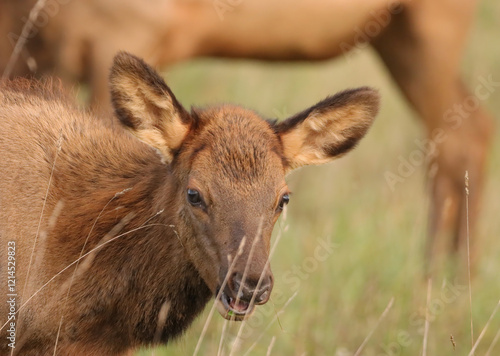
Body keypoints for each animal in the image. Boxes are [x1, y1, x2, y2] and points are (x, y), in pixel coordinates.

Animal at [0, 0, 492, 272]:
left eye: (284, 198)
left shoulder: (123, 33)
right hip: (396, 36)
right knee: (470, 131)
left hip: (432, 28)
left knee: (459, 138)